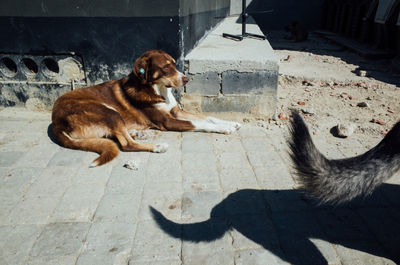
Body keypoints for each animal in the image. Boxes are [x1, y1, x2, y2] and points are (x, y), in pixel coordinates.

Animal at [52, 49, 241, 165]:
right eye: (165, 67)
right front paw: (225, 129)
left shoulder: (176, 110)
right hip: (108, 112)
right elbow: (200, 123)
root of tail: (56, 123)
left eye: (174, 63)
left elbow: (208, 117)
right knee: (126, 144)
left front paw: (230, 123)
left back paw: (139, 133)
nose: (186, 79)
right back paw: (157, 146)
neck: (159, 90)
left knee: (121, 136)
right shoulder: (167, 121)